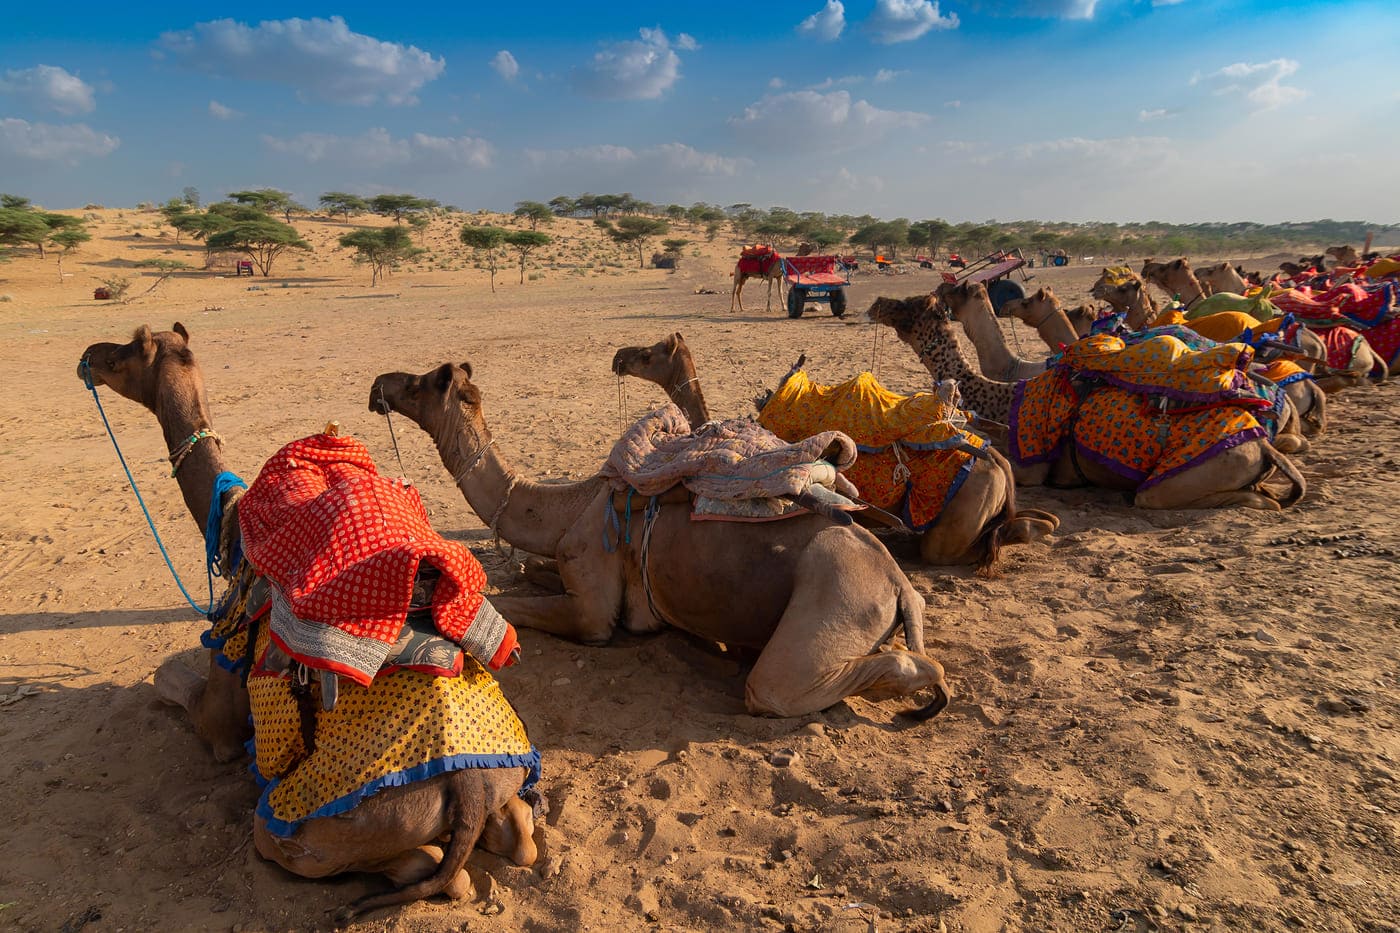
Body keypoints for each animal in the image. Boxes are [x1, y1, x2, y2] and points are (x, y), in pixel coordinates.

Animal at [75, 323, 540, 918]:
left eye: (128, 351)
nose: (90, 355)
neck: (231, 524)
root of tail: (469, 791)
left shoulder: (223, 683)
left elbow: (174, 687)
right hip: (503, 779)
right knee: (519, 838)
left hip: (309, 823)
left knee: (431, 869)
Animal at [366, 358, 957, 714]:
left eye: (419, 384)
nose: (378, 386)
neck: (568, 506)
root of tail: (898, 585)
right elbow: (532, 569)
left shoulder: (593, 611)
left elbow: (510, 602)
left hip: (834, 603)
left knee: (781, 687)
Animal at [868, 294, 1304, 509]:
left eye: (908, 306)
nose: (875, 304)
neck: (1006, 397)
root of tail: (1263, 446)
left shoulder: (1033, 467)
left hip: (1188, 477)